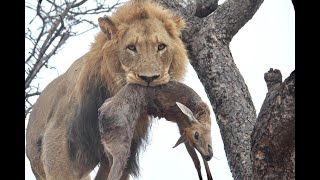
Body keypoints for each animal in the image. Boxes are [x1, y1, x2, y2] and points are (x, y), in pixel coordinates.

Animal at [26, 0, 189, 179]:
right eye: (131, 47)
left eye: (161, 47)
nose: (149, 78)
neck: (113, 94)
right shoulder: (57, 142)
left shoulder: (123, 151)